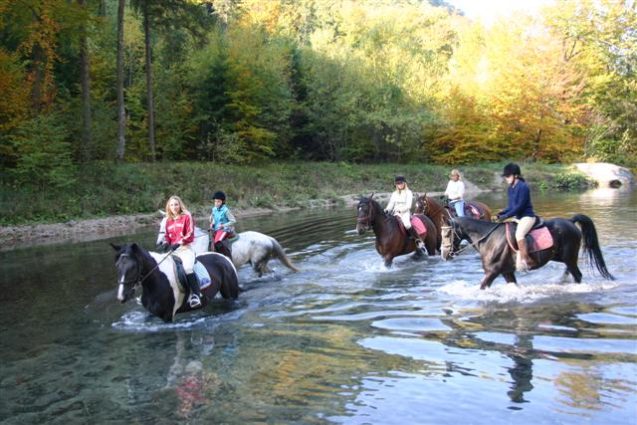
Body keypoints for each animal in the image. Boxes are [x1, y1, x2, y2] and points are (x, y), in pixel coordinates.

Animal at [110, 242, 240, 322]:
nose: (121, 296)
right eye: (117, 266)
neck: (156, 280)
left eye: (132, 267)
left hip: (231, 294)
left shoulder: (167, 316)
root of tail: (224, 258)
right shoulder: (151, 313)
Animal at [440, 215, 612, 288]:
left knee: (577, 275)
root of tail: (570, 221)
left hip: (569, 257)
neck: (488, 238)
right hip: (561, 257)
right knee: (570, 270)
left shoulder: (492, 272)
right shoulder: (506, 272)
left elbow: (481, 287)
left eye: (447, 234)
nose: (444, 255)